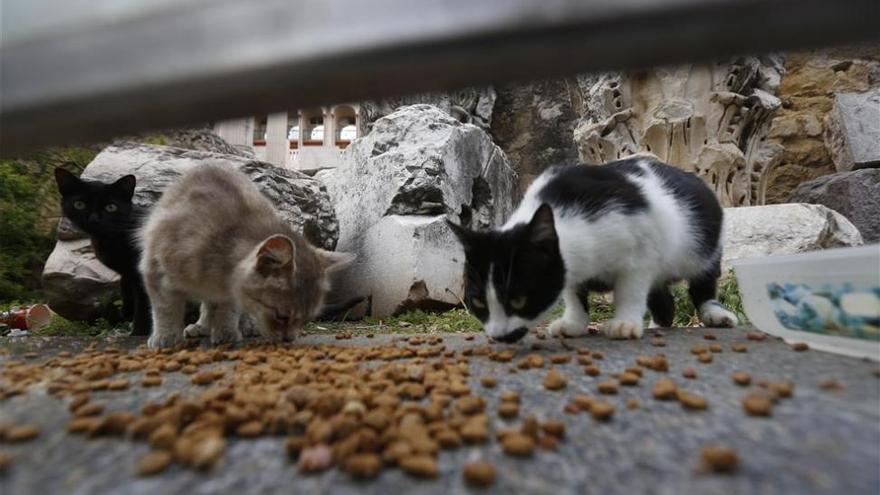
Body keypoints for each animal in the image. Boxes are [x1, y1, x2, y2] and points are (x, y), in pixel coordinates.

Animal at [53, 170, 150, 338]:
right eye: (79, 204)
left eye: (111, 207)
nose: (94, 219)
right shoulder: (128, 275)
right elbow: (127, 294)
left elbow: (144, 308)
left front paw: (139, 334)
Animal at [141, 164, 354, 348]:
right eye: (282, 316)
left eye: (306, 320)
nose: (289, 340)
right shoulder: (156, 268)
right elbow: (164, 308)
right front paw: (166, 336)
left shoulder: (230, 289)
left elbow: (227, 307)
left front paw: (225, 330)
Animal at [446, 157, 736, 342]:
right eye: (478, 302)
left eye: (518, 299)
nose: (498, 336)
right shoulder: (569, 268)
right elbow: (573, 292)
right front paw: (573, 323)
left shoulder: (642, 250)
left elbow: (630, 289)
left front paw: (625, 323)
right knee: (664, 300)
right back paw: (658, 325)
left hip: (702, 247)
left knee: (702, 283)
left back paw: (715, 314)